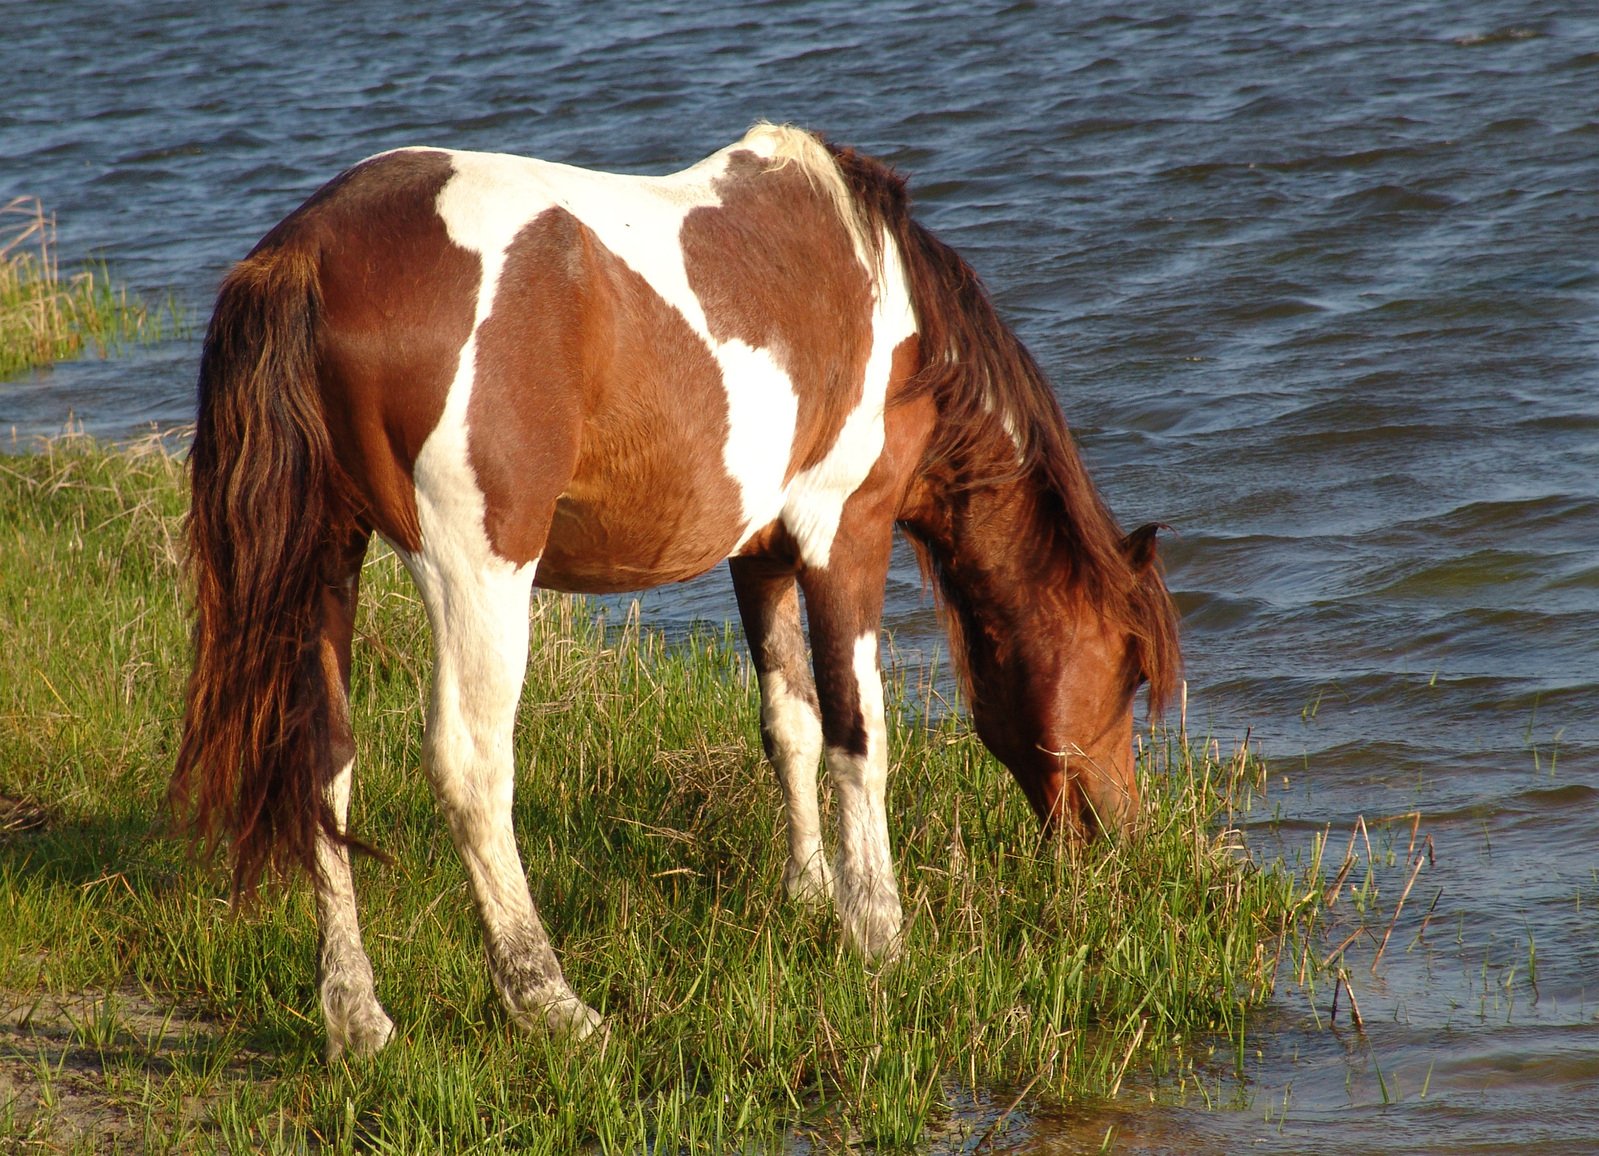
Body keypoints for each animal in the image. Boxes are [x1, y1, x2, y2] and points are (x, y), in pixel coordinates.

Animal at [171, 124, 1176, 1055]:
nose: (1121, 843)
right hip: (477, 570)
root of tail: (307, 251)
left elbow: (789, 725)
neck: (889, 306)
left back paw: (355, 1016)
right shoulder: (843, 535)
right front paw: (878, 934)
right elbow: (858, 736)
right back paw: (549, 1000)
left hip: (327, 560)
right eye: (1130, 674)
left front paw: (809, 898)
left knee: (321, 762)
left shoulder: (759, 553)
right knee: (471, 766)